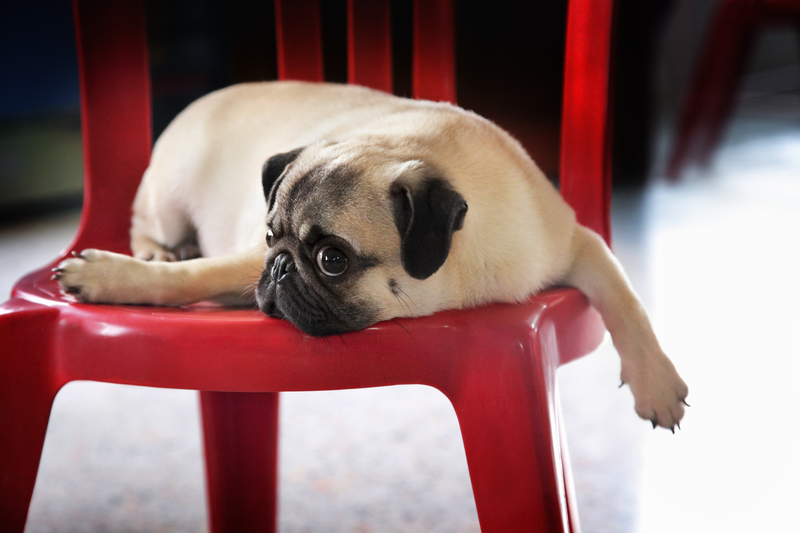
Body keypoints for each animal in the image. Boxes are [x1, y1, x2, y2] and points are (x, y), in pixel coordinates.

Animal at [54, 82, 688, 428]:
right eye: (271, 238)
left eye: (332, 260)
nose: (277, 266)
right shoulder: (240, 261)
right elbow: (193, 276)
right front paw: (113, 276)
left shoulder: (579, 242)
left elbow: (625, 301)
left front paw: (655, 382)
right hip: (167, 196)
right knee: (146, 223)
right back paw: (157, 252)